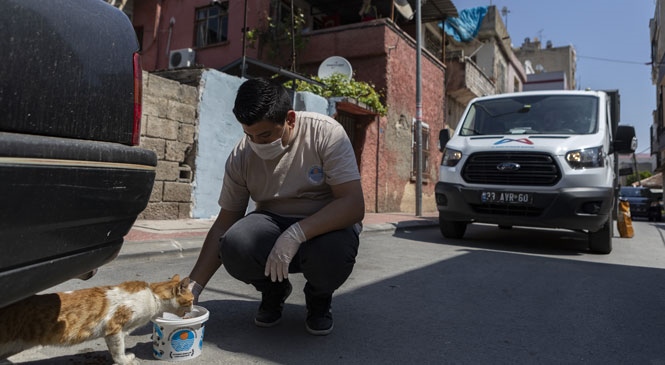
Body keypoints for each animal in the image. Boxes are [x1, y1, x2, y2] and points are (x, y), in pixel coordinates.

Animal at [0, 274, 193, 362]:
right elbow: (119, 350)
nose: (192, 308)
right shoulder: (115, 328)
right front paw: (124, 360)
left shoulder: (114, 333)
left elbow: (114, 349)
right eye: (191, 300)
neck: (153, 296)